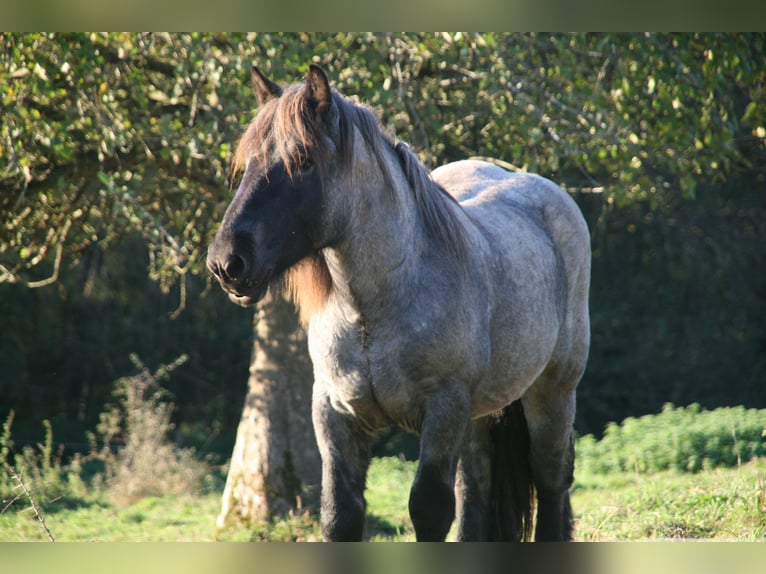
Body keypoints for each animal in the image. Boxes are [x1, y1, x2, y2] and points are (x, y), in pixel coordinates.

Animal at [207, 64, 592, 544]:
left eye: (303, 161)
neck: (371, 309)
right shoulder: (334, 413)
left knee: (551, 478)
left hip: (552, 392)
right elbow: (340, 515)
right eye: (247, 164)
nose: (226, 262)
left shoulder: (443, 410)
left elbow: (428, 510)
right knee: (476, 488)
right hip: (481, 413)